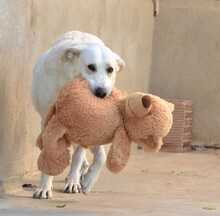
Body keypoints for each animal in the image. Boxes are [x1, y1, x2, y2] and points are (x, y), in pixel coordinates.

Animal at [31, 31, 124, 198]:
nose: (102, 93)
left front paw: (73, 181)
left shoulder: (84, 127)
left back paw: (86, 178)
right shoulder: (48, 124)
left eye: (110, 69)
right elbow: (50, 154)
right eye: (91, 67)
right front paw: (44, 187)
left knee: (99, 156)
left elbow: (77, 157)